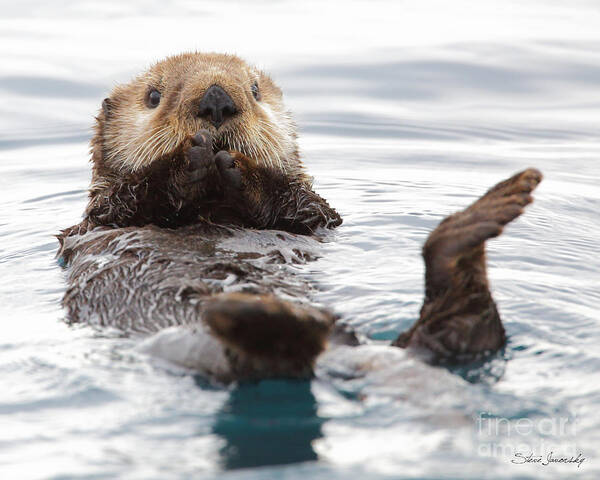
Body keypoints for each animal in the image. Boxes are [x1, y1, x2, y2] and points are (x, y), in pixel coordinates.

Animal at [57, 52, 544, 382]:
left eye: (254, 90)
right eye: (153, 96)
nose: (216, 99)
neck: (212, 207)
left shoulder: (315, 219)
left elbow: (301, 205)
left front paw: (238, 167)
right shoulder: (100, 218)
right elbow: (131, 198)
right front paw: (188, 160)